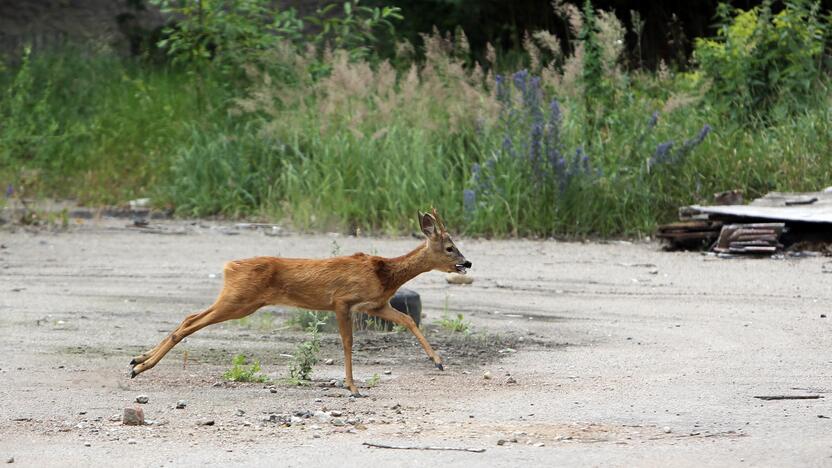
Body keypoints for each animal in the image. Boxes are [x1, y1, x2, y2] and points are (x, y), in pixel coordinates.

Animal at [127, 208, 472, 394]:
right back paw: (140, 367)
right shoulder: (343, 301)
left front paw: (438, 361)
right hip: (239, 301)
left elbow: (408, 319)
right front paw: (353, 388)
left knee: (188, 317)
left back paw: (137, 360)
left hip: (237, 299)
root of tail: (229, 267)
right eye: (450, 248)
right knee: (190, 324)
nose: (467, 263)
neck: (385, 274)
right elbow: (348, 343)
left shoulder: (376, 305)